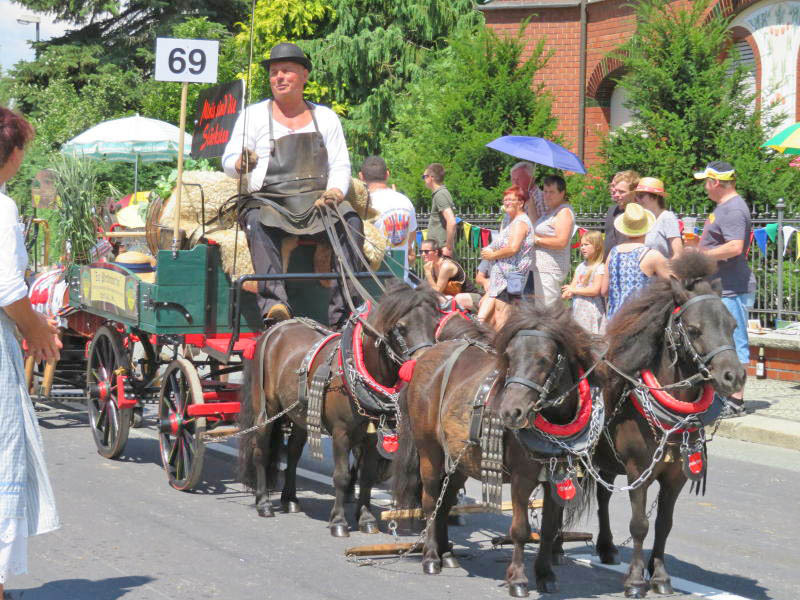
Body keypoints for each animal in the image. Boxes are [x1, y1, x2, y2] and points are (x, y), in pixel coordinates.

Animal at [238, 282, 440, 540]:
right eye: (401, 328)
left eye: (435, 325)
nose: (427, 366)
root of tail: (274, 329)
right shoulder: (341, 434)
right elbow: (342, 476)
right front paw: (339, 522)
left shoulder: (372, 438)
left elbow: (366, 477)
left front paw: (366, 519)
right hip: (267, 410)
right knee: (261, 450)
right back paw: (263, 502)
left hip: (301, 415)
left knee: (293, 452)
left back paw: (290, 499)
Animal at [394, 300, 600, 596]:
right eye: (510, 357)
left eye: (543, 359)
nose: (511, 411)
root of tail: (425, 358)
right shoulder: (522, 479)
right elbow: (520, 529)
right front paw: (518, 580)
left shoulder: (556, 480)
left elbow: (549, 529)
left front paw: (545, 574)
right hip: (430, 452)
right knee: (431, 501)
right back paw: (432, 556)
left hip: (459, 460)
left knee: (446, 501)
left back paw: (447, 553)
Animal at [592, 251, 748, 596]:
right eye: (694, 329)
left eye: (732, 325)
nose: (734, 377)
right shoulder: (638, 472)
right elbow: (639, 524)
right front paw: (636, 579)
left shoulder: (675, 476)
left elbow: (664, 524)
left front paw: (661, 576)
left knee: (602, 496)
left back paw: (606, 547)